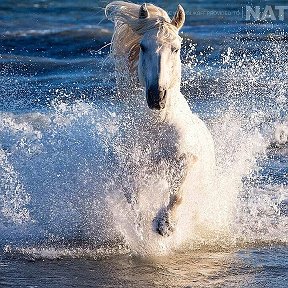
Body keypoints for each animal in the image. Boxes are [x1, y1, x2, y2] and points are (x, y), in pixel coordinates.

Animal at [106, 1, 216, 236]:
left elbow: (178, 193)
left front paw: (165, 225)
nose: (157, 97)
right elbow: (133, 197)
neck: (159, 124)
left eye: (176, 48)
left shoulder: (186, 158)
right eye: (143, 46)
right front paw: (140, 225)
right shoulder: (131, 164)